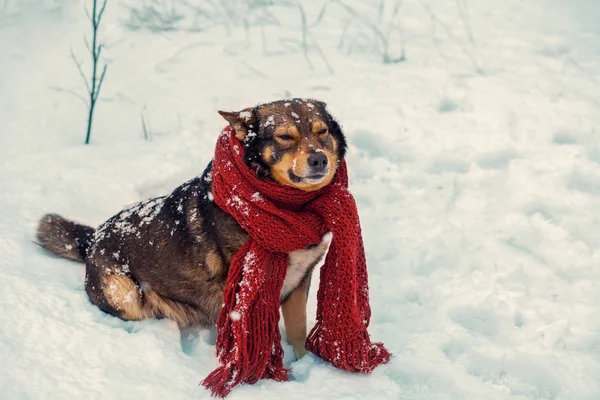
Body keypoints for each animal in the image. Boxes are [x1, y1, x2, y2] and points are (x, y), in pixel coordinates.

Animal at [35, 97, 346, 360]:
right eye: (285, 137)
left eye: (322, 132)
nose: (319, 159)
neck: (287, 210)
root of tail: (94, 236)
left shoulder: (300, 280)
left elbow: (298, 332)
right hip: (126, 293)